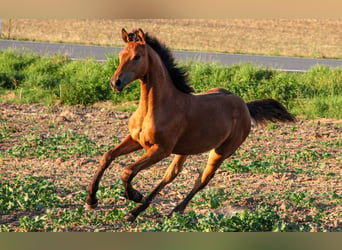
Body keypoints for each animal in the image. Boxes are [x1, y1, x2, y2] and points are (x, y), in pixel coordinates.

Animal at [85, 28, 294, 222]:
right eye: (121, 54)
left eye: (137, 57)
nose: (116, 82)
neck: (155, 107)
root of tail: (245, 105)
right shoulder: (136, 140)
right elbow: (107, 156)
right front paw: (91, 200)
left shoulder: (161, 149)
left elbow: (127, 171)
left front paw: (135, 195)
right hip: (184, 150)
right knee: (171, 175)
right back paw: (138, 211)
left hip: (221, 152)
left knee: (202, 180)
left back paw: (171, 210)